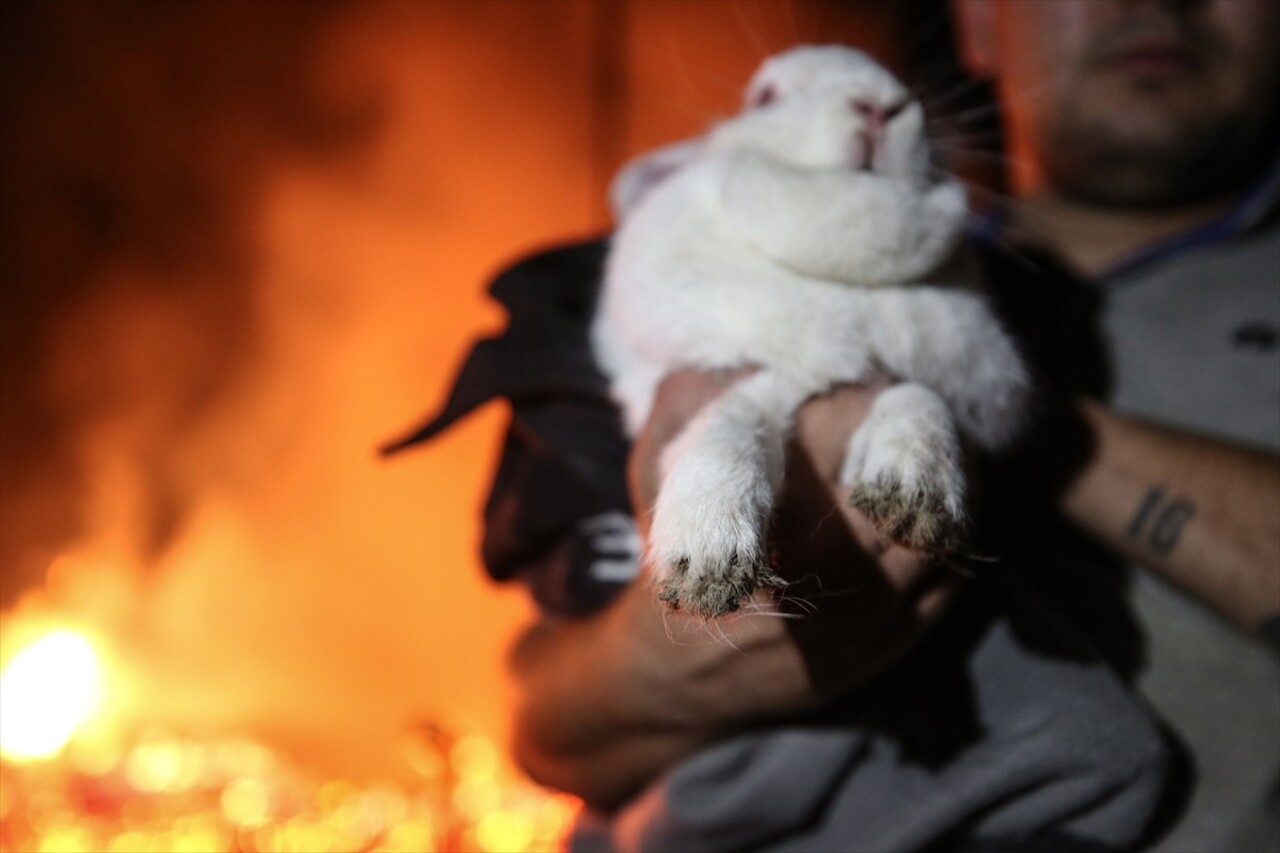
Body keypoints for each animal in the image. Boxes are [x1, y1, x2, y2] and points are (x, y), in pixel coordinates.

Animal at [591, 46, 1029, 614]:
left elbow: (920, 394)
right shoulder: (754, 376)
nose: (880, 105)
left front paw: (915, 496)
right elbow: (727, 423)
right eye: (765, 97)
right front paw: (707, 557)